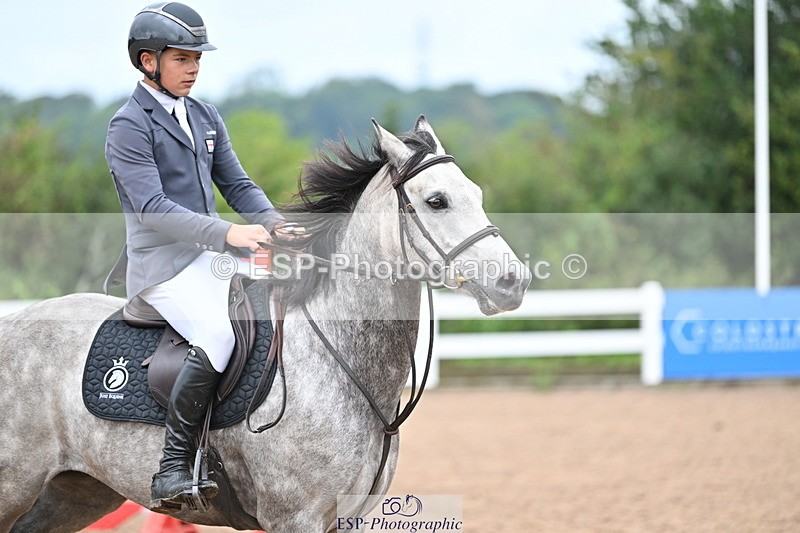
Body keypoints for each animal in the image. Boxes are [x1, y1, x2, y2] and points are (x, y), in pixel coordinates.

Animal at [0, 116, 531, 533]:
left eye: (476, 194)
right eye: (437, 201)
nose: (514, 282)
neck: (336, 359)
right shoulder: (295, 518)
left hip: (73, 493)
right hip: (14, 487)